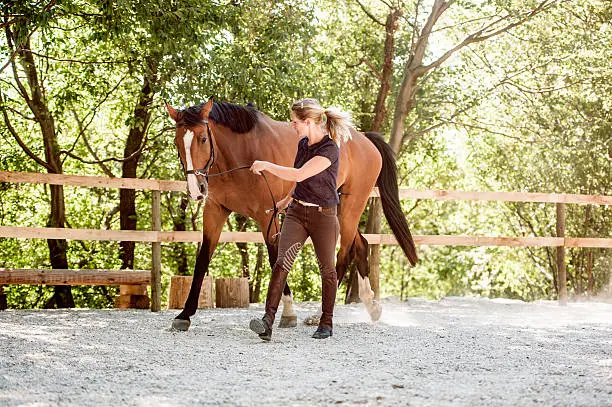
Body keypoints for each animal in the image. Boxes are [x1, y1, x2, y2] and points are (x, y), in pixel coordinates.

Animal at [165, 98, 418, 332]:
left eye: (203, 139)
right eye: (177, 142)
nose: (196, 190)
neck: (241, 154)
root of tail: (364, 139)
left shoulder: (268, 215)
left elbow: (276, 257)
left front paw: (288, 312)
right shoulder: (215, 211)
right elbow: (202, 259)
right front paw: (184, 315)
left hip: (351, 206)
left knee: (344, 253)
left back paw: (319, 315)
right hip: (335, 208)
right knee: (361, 245)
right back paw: (372, 306)